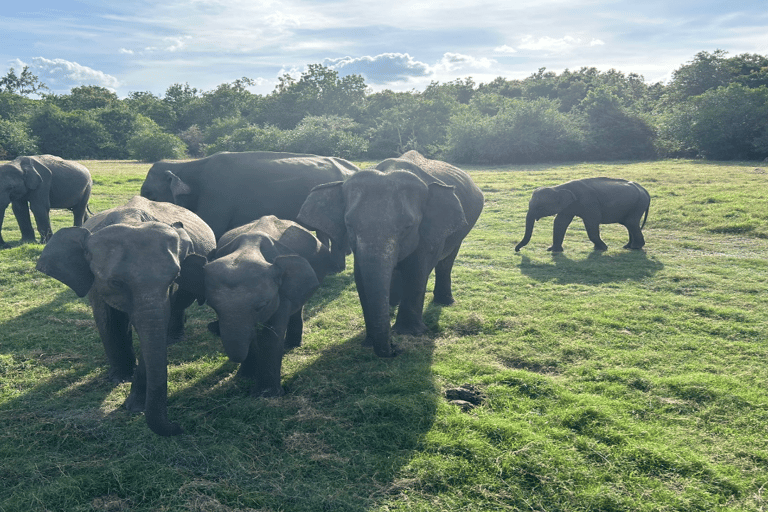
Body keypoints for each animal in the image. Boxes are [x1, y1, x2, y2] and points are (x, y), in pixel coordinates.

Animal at [36, 196, 216, 437]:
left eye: (175, 277)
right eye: (116, 283)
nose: (179, 426)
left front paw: (134, 406)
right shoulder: (95, 282)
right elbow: (107, 320)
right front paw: (119, 378)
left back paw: (173, 339)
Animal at [139, 151, 360, 271]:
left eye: (149, 194)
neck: (187, 166)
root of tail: (354, 168)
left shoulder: (217, 198)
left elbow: (214, 232)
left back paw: (336, 267)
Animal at [204, 215, 332, 398]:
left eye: (262, 305)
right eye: (213, 306)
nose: (213, 328)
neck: (248, 248)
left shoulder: (281, 293)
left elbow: (270, 336)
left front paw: (266, 395)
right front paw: (245, 378)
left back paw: (292, 346)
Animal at [297, 150, 484, 357]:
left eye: (408, 227)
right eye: (349, 225)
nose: (394, 349)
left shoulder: (430, 232)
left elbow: (417, 271)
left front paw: (408, 333)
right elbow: (361, 277)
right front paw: (370, 341)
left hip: (462, 228)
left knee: (447, 261)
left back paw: (445, 302)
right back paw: (393, 303)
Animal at [515, 177, 650, 253]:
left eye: (540, 207)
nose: (517, 250)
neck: (558, 187)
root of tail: (644, 189)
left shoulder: (589, 203)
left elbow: (592, 222)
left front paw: (602, 248)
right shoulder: (568, 206)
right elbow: (560, 222)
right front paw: (552, 250)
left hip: (638, 205)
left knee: (631, 223)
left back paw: (635, 247)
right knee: (629, 224)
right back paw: (627, 246)